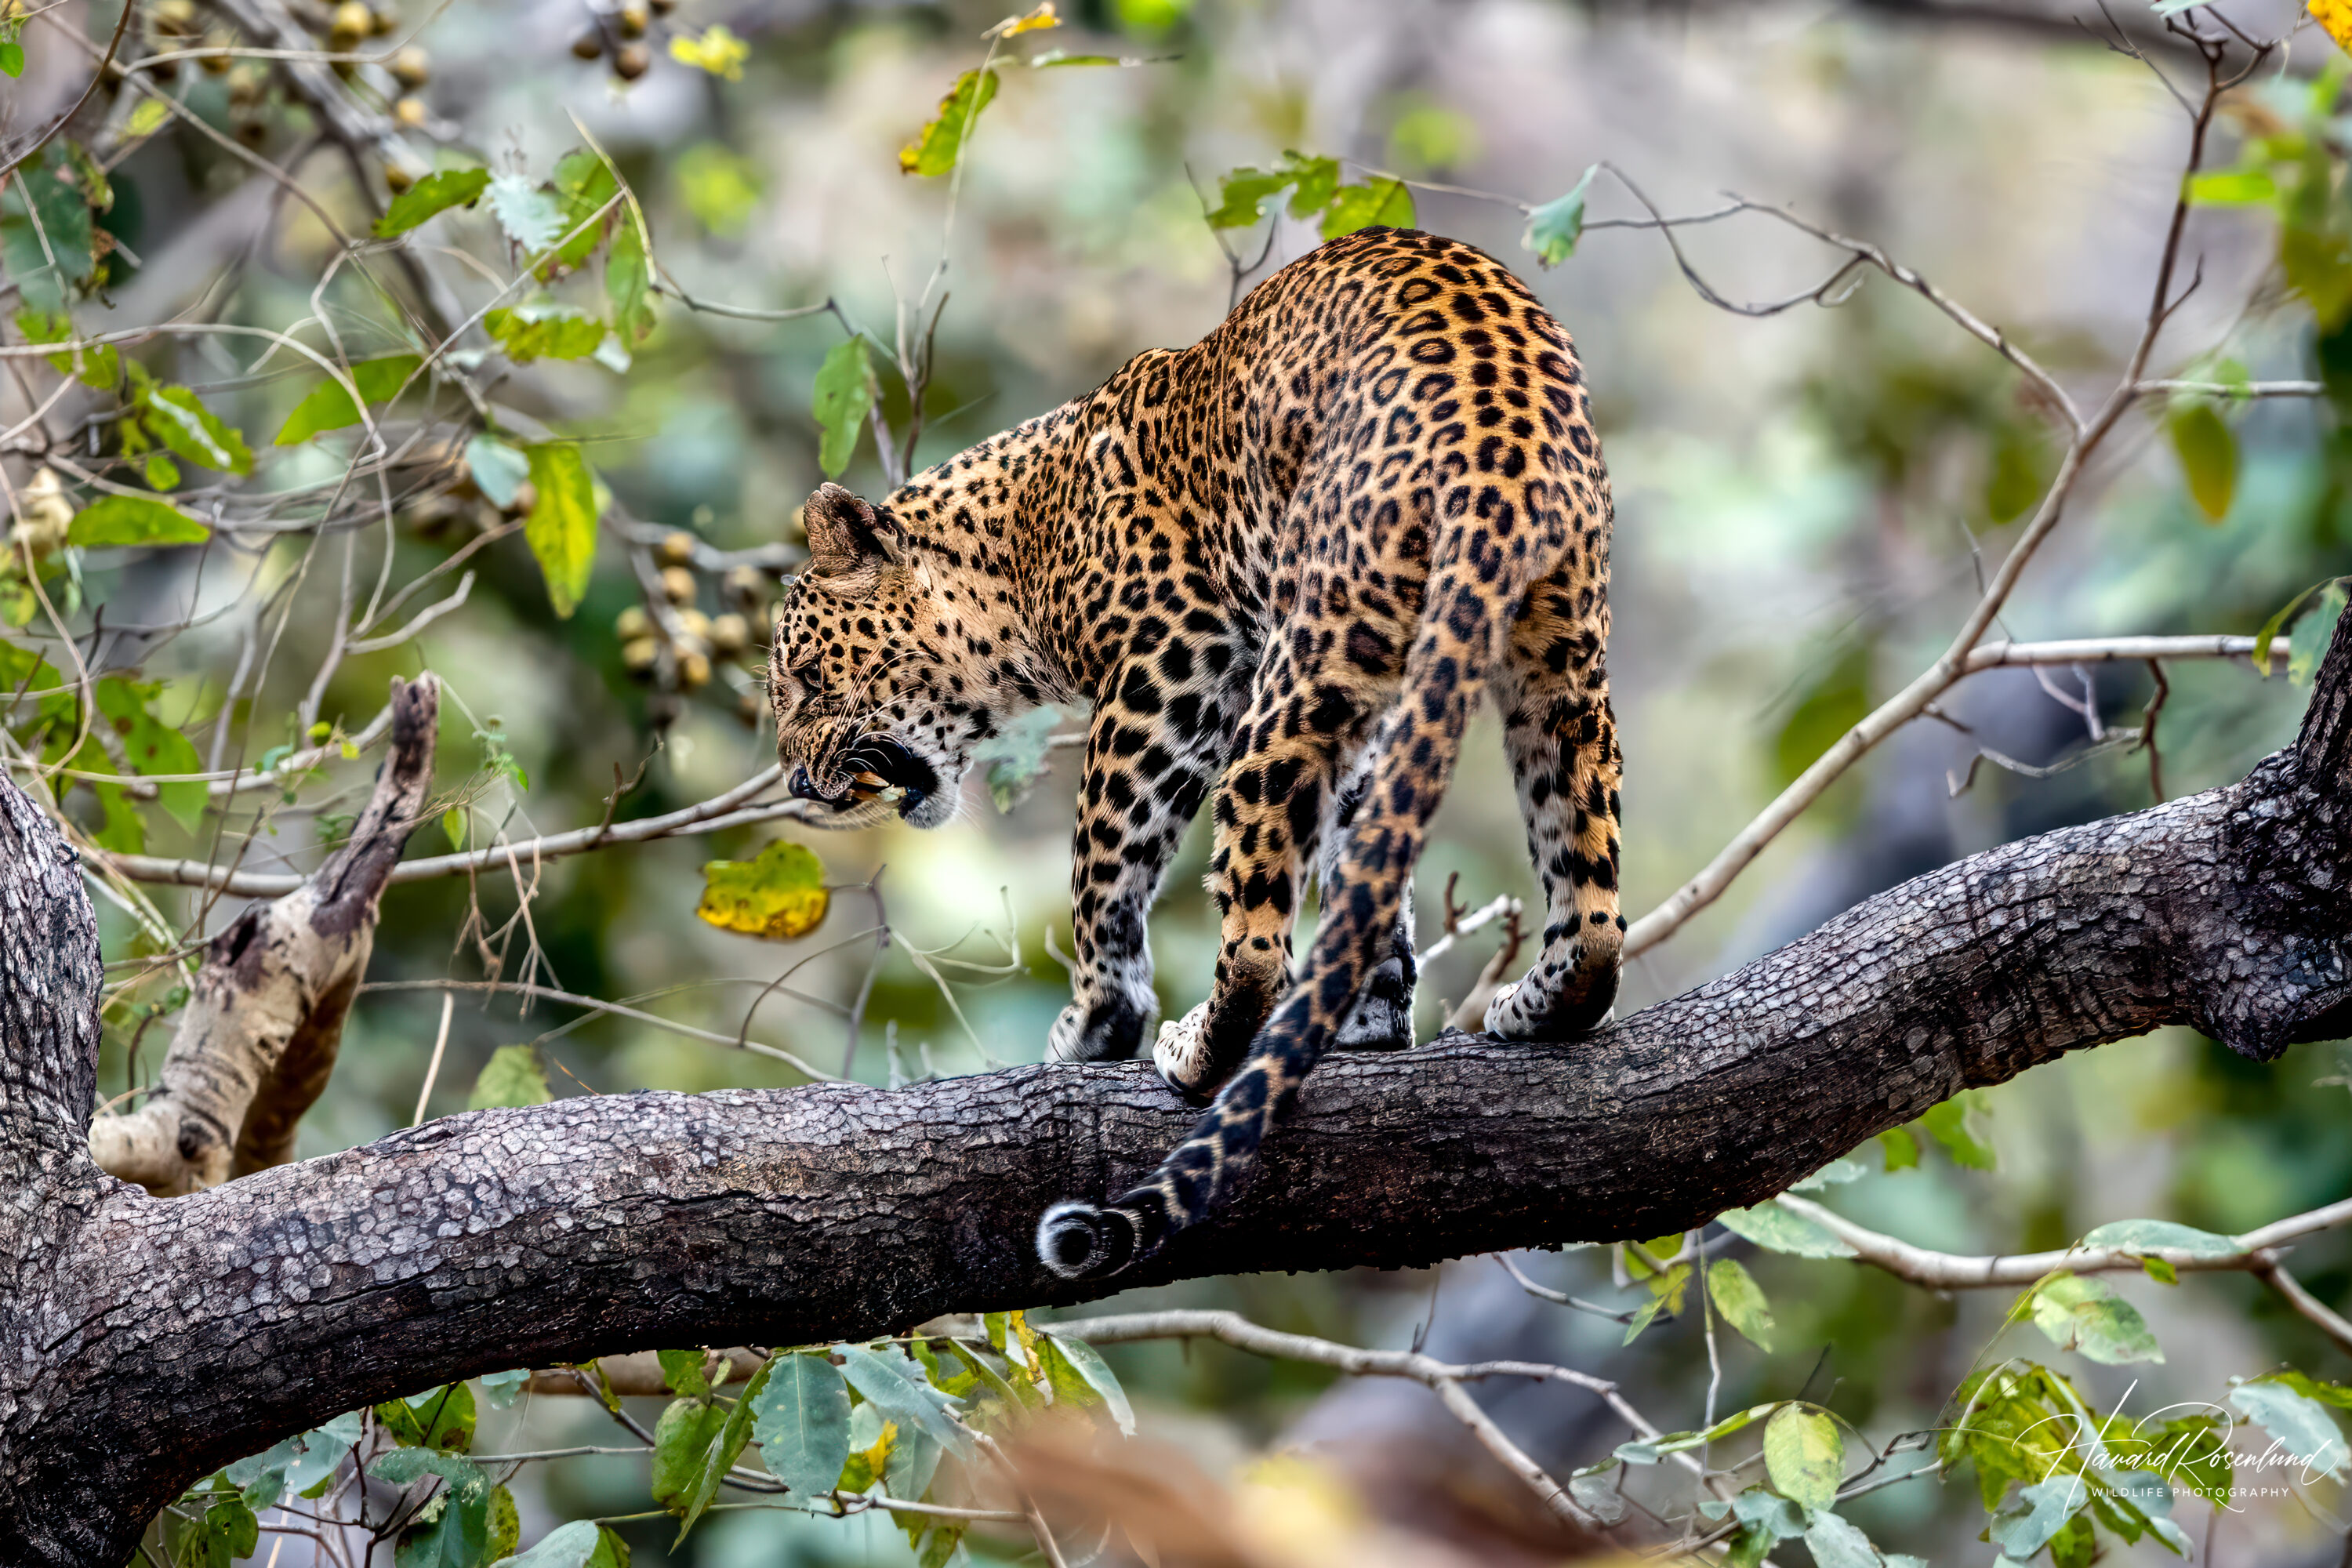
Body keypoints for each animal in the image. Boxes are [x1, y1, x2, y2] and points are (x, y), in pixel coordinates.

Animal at [767, 225, 1622, 1283]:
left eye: (806, 678)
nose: (797, 781)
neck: (1015, 548)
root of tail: (1498, 438)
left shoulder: (1167, 674)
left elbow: (1104, 865)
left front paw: (1097, 1024)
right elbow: (1365, 862)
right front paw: (1372, 1018)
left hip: (1301, 660)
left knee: (1254, 942)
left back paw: (1201, 1047)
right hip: (1558, 660)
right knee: (1592, 900)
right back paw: (1541, 1005)